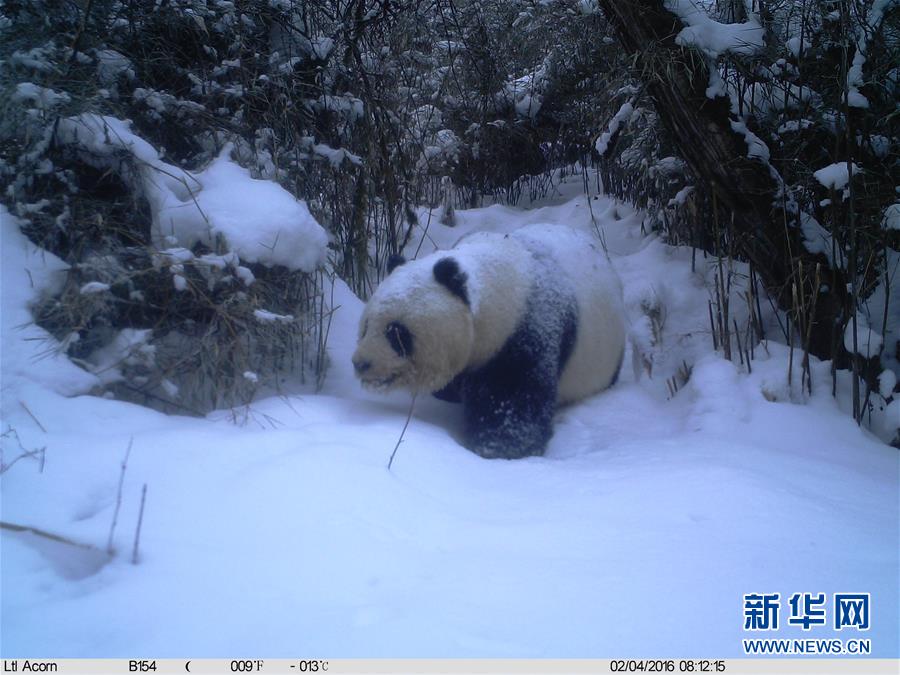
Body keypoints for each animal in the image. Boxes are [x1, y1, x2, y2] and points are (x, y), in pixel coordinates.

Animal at [352, 224, 624, 462]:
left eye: (397, 333)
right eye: (365, 327)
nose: (361, 363)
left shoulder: (531, 327)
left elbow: (514, 397)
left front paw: (498, 447)